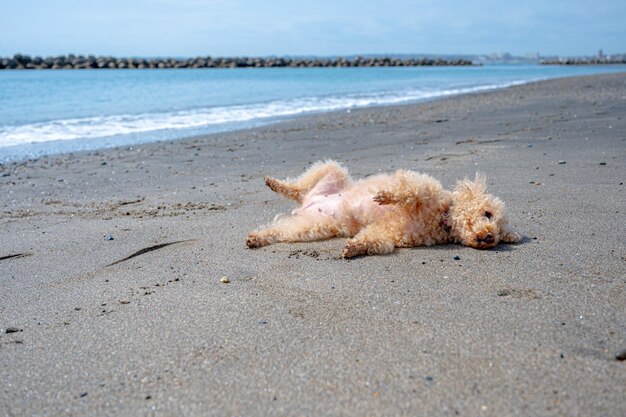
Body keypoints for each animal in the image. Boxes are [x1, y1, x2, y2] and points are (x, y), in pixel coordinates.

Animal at [246, 159, 520, 256]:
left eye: (499, 234)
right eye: (488, 213)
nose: (490, 236)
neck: (441, 218)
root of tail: (307, 203)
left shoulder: (390, 232)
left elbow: (374, 240)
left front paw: (355, 248)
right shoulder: (423, 187)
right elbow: (409, 190)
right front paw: (387, 197)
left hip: (309, 227)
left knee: (279, 229)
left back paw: (256, 238)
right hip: (330, 170)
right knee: (295, 186)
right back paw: (274, 183)